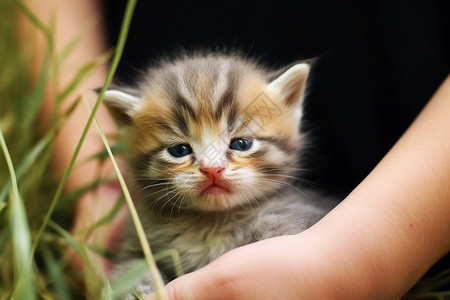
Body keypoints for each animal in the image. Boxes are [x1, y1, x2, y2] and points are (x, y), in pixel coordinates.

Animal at [103, 52, 336, 298]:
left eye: (241, 144)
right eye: (179, 150)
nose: (212, 169)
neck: (211, 224)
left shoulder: (300, 211)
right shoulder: (135, 239)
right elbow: (131, 269)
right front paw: (140, 290)